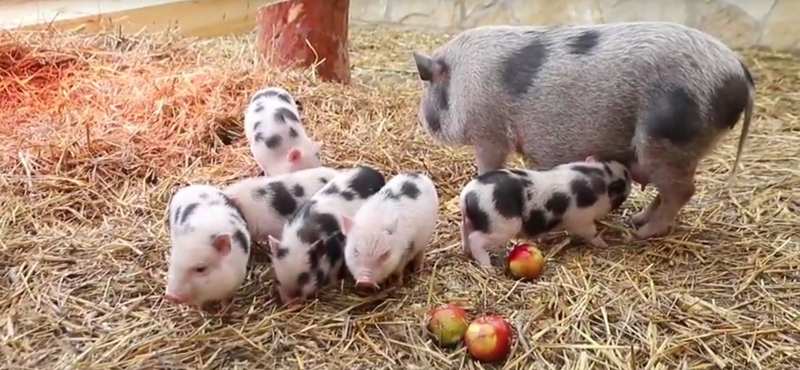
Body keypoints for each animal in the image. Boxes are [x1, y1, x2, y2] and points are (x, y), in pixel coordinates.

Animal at [268, 166, 388, 304]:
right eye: (277, 279)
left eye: (305, 276)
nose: (291, 302)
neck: (302, 237)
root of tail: (374, 172)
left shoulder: (338, 248)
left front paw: (332, 284)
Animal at [412, 21, 756, 240]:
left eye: (427, 88)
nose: (422, 120)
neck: (459, 82)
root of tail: (739, 72)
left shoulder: (490, 133)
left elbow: (486, 166)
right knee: (669, 192)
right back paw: (637, 220)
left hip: (667, 141)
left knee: (682, 191)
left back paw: (640, 234)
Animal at [460, 156, 636, 268]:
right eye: (623, 182)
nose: (628, 170)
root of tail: (467, 196)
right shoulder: (580, 219)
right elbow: (591, 233)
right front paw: (604, 244)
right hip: (501, 226)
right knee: (476, 239)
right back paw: (489, 268)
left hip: (468, 223)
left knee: (466, 235)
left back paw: (466, 252)